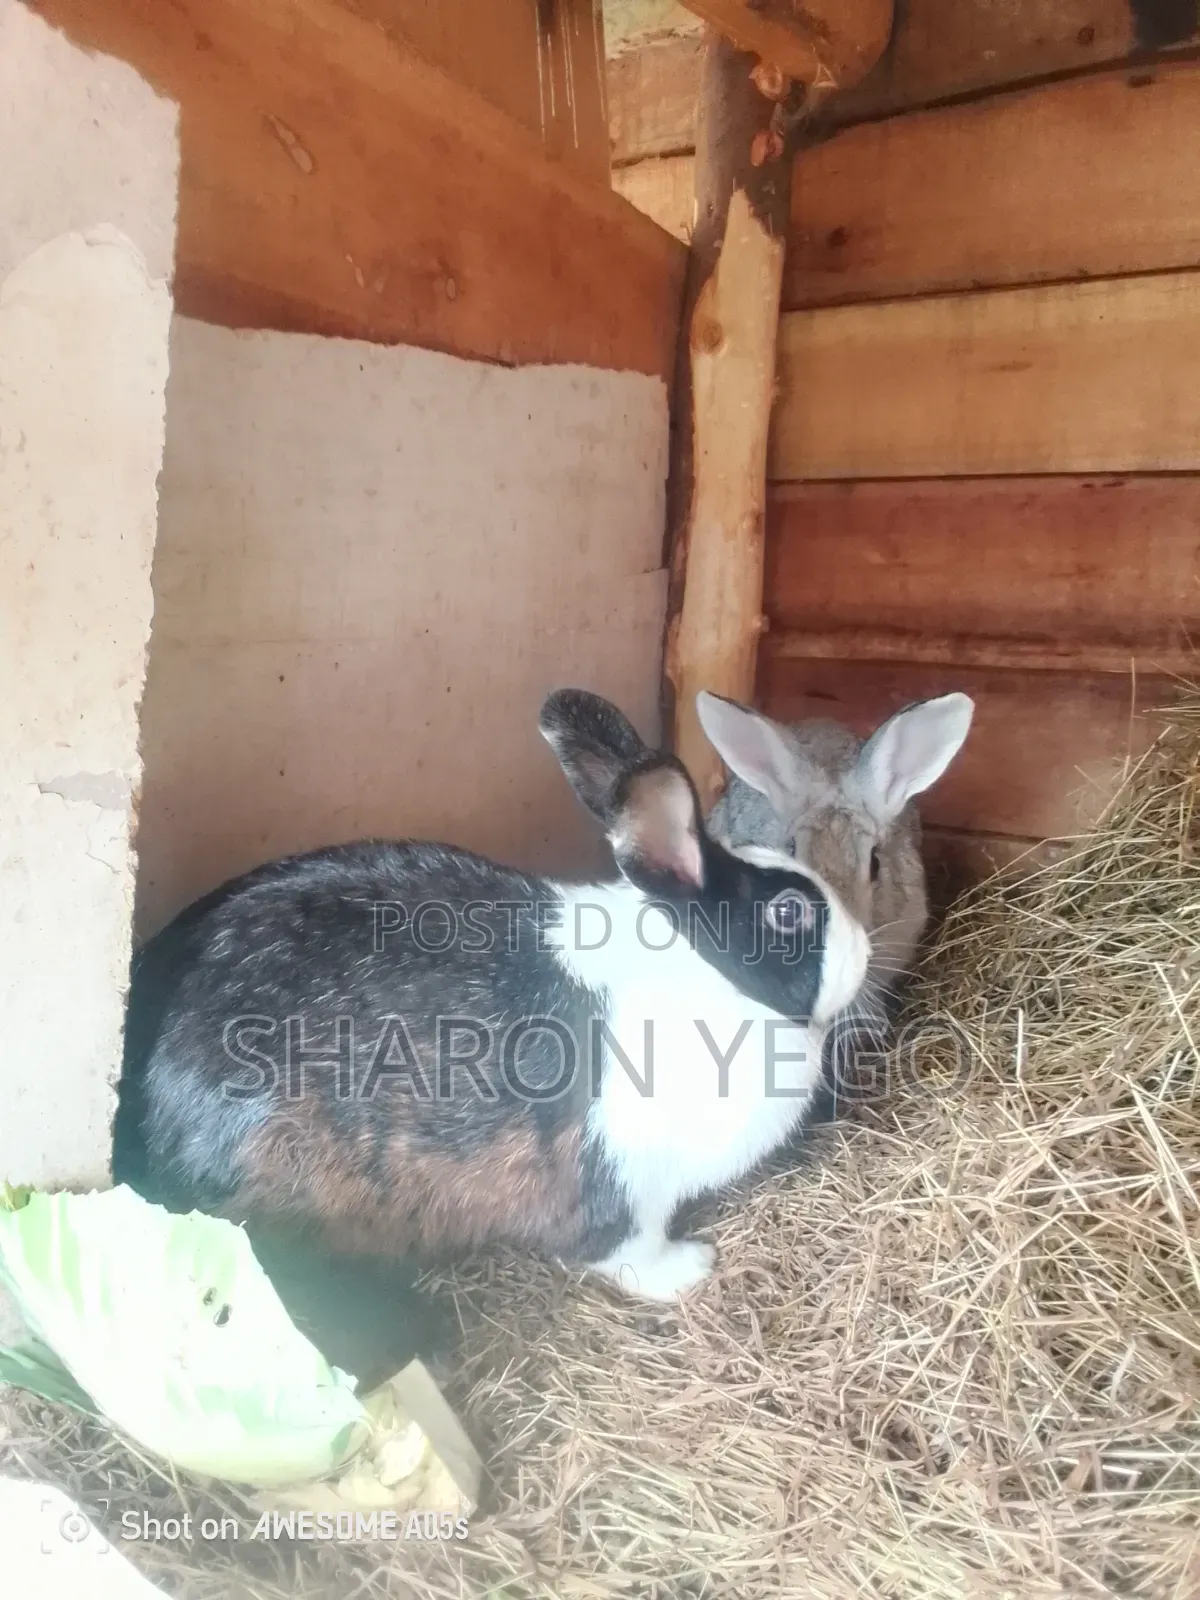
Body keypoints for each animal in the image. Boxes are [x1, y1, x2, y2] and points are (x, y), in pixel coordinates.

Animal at [113, 689, 870, 1305]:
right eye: (788, 914)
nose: (863, 950)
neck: (709, 976)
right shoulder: (627, 1186)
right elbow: (630, 1252)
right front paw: (691, 1269)